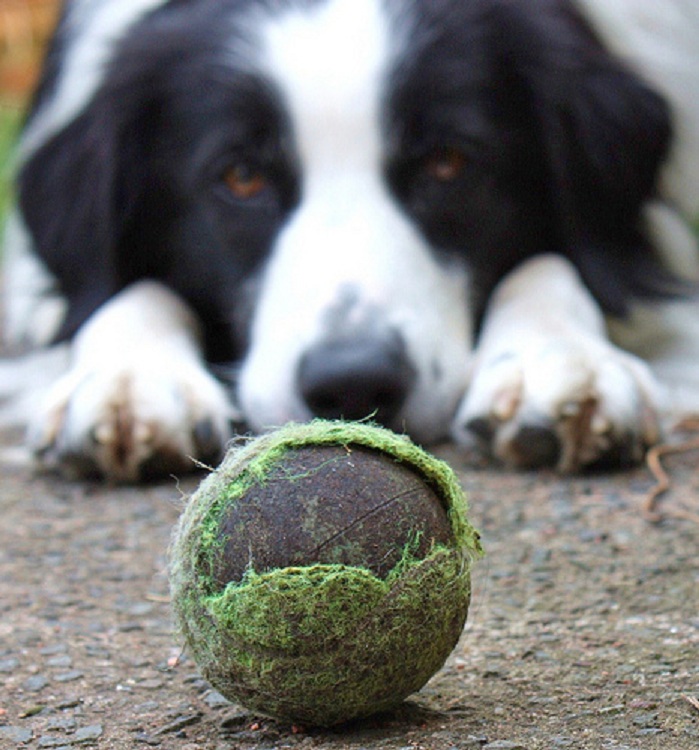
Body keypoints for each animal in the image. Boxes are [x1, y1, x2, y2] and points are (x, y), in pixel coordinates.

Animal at [1, 0, 699, 482]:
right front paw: (129, 377)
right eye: (241, 176)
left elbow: (558, 263)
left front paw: (557, 358)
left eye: (449, 162)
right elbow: (118, 290)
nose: (354, 384)